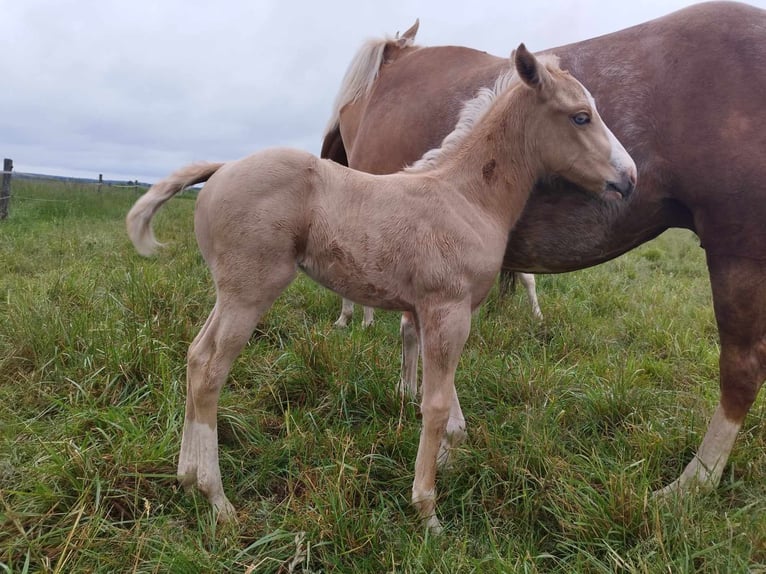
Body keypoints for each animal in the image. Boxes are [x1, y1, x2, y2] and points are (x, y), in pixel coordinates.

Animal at [127, 46, 636, 536]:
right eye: (580, 116)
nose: (629, 178)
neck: (467, 197)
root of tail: (223, 167)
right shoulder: (448, 310)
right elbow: (434, 405)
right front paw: (427, 511)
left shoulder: (434, 313)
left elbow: (451, 410)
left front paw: (448, 462)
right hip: (251, 292)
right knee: (212, 372)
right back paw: (218, 499)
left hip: (229, 293)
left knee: (195, 356)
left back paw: (186, 477)